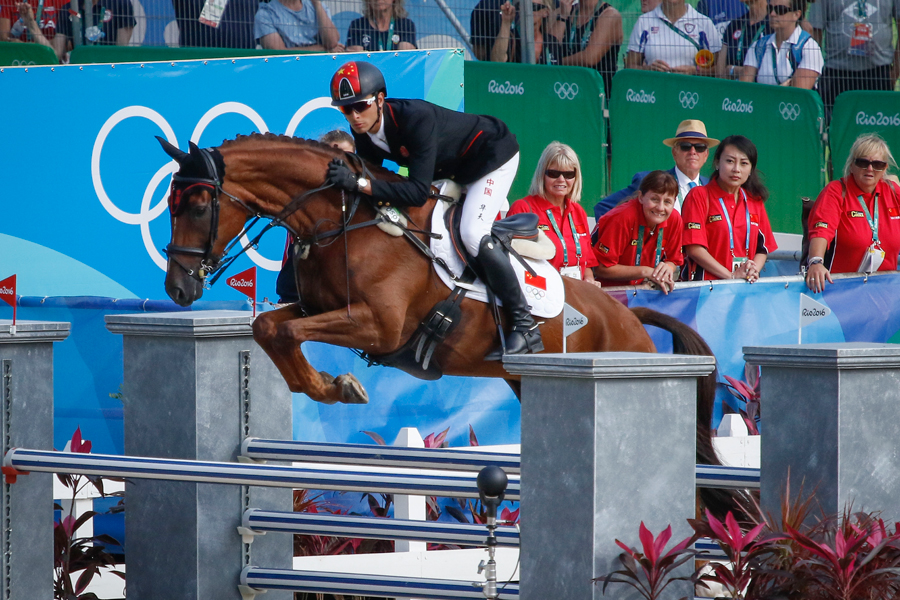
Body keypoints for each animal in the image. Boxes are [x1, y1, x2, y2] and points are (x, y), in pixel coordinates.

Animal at [160, 132, 744, 520]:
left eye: (198, 204)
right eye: (169, 203)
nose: (179, 289)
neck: (344, 219)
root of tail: (628, 316)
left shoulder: (376, 327)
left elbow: (282, 333)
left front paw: (340, 387)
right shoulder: (313, 311)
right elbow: (268, 329)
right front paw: (332, 385)